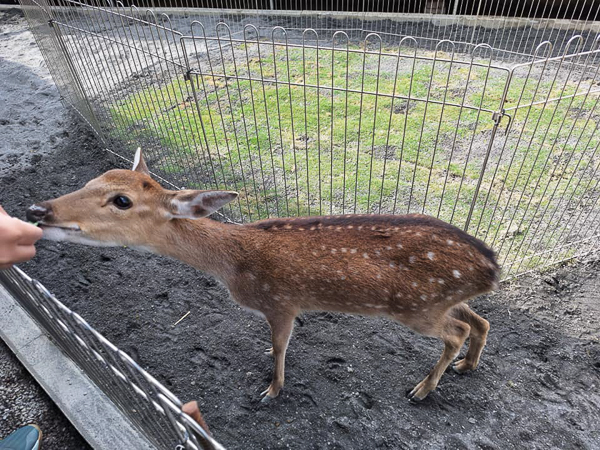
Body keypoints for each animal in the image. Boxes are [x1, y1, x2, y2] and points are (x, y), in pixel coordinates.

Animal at [25, 149, 500, 402]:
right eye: (95, 178)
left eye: (121, 200)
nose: (38, 209)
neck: (234, 266)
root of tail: (493, 268)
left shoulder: (281, 302)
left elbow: (279, 347)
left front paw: (271, 390)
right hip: (441, 299)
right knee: (479, 320)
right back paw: (468, 366)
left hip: (416, 307)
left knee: (457, 330)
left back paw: (422, 389)